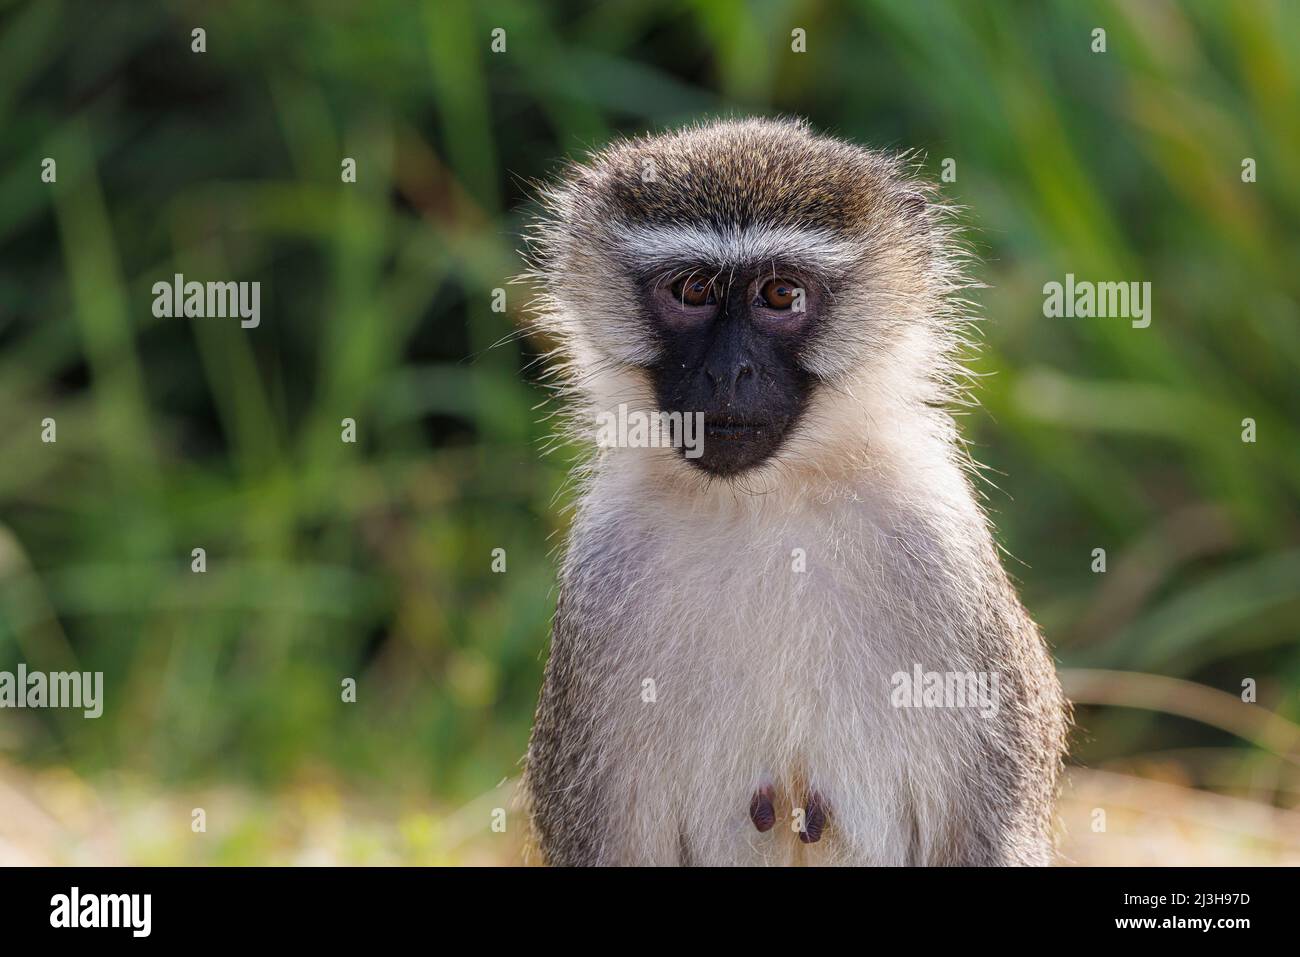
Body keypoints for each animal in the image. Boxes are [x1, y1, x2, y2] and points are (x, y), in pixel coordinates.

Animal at [517, 115, 1066, 863]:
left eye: (780, 295)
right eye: (691, 291)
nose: (728, 373)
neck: (766, 502)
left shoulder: (939, 544)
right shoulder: (605, 566)